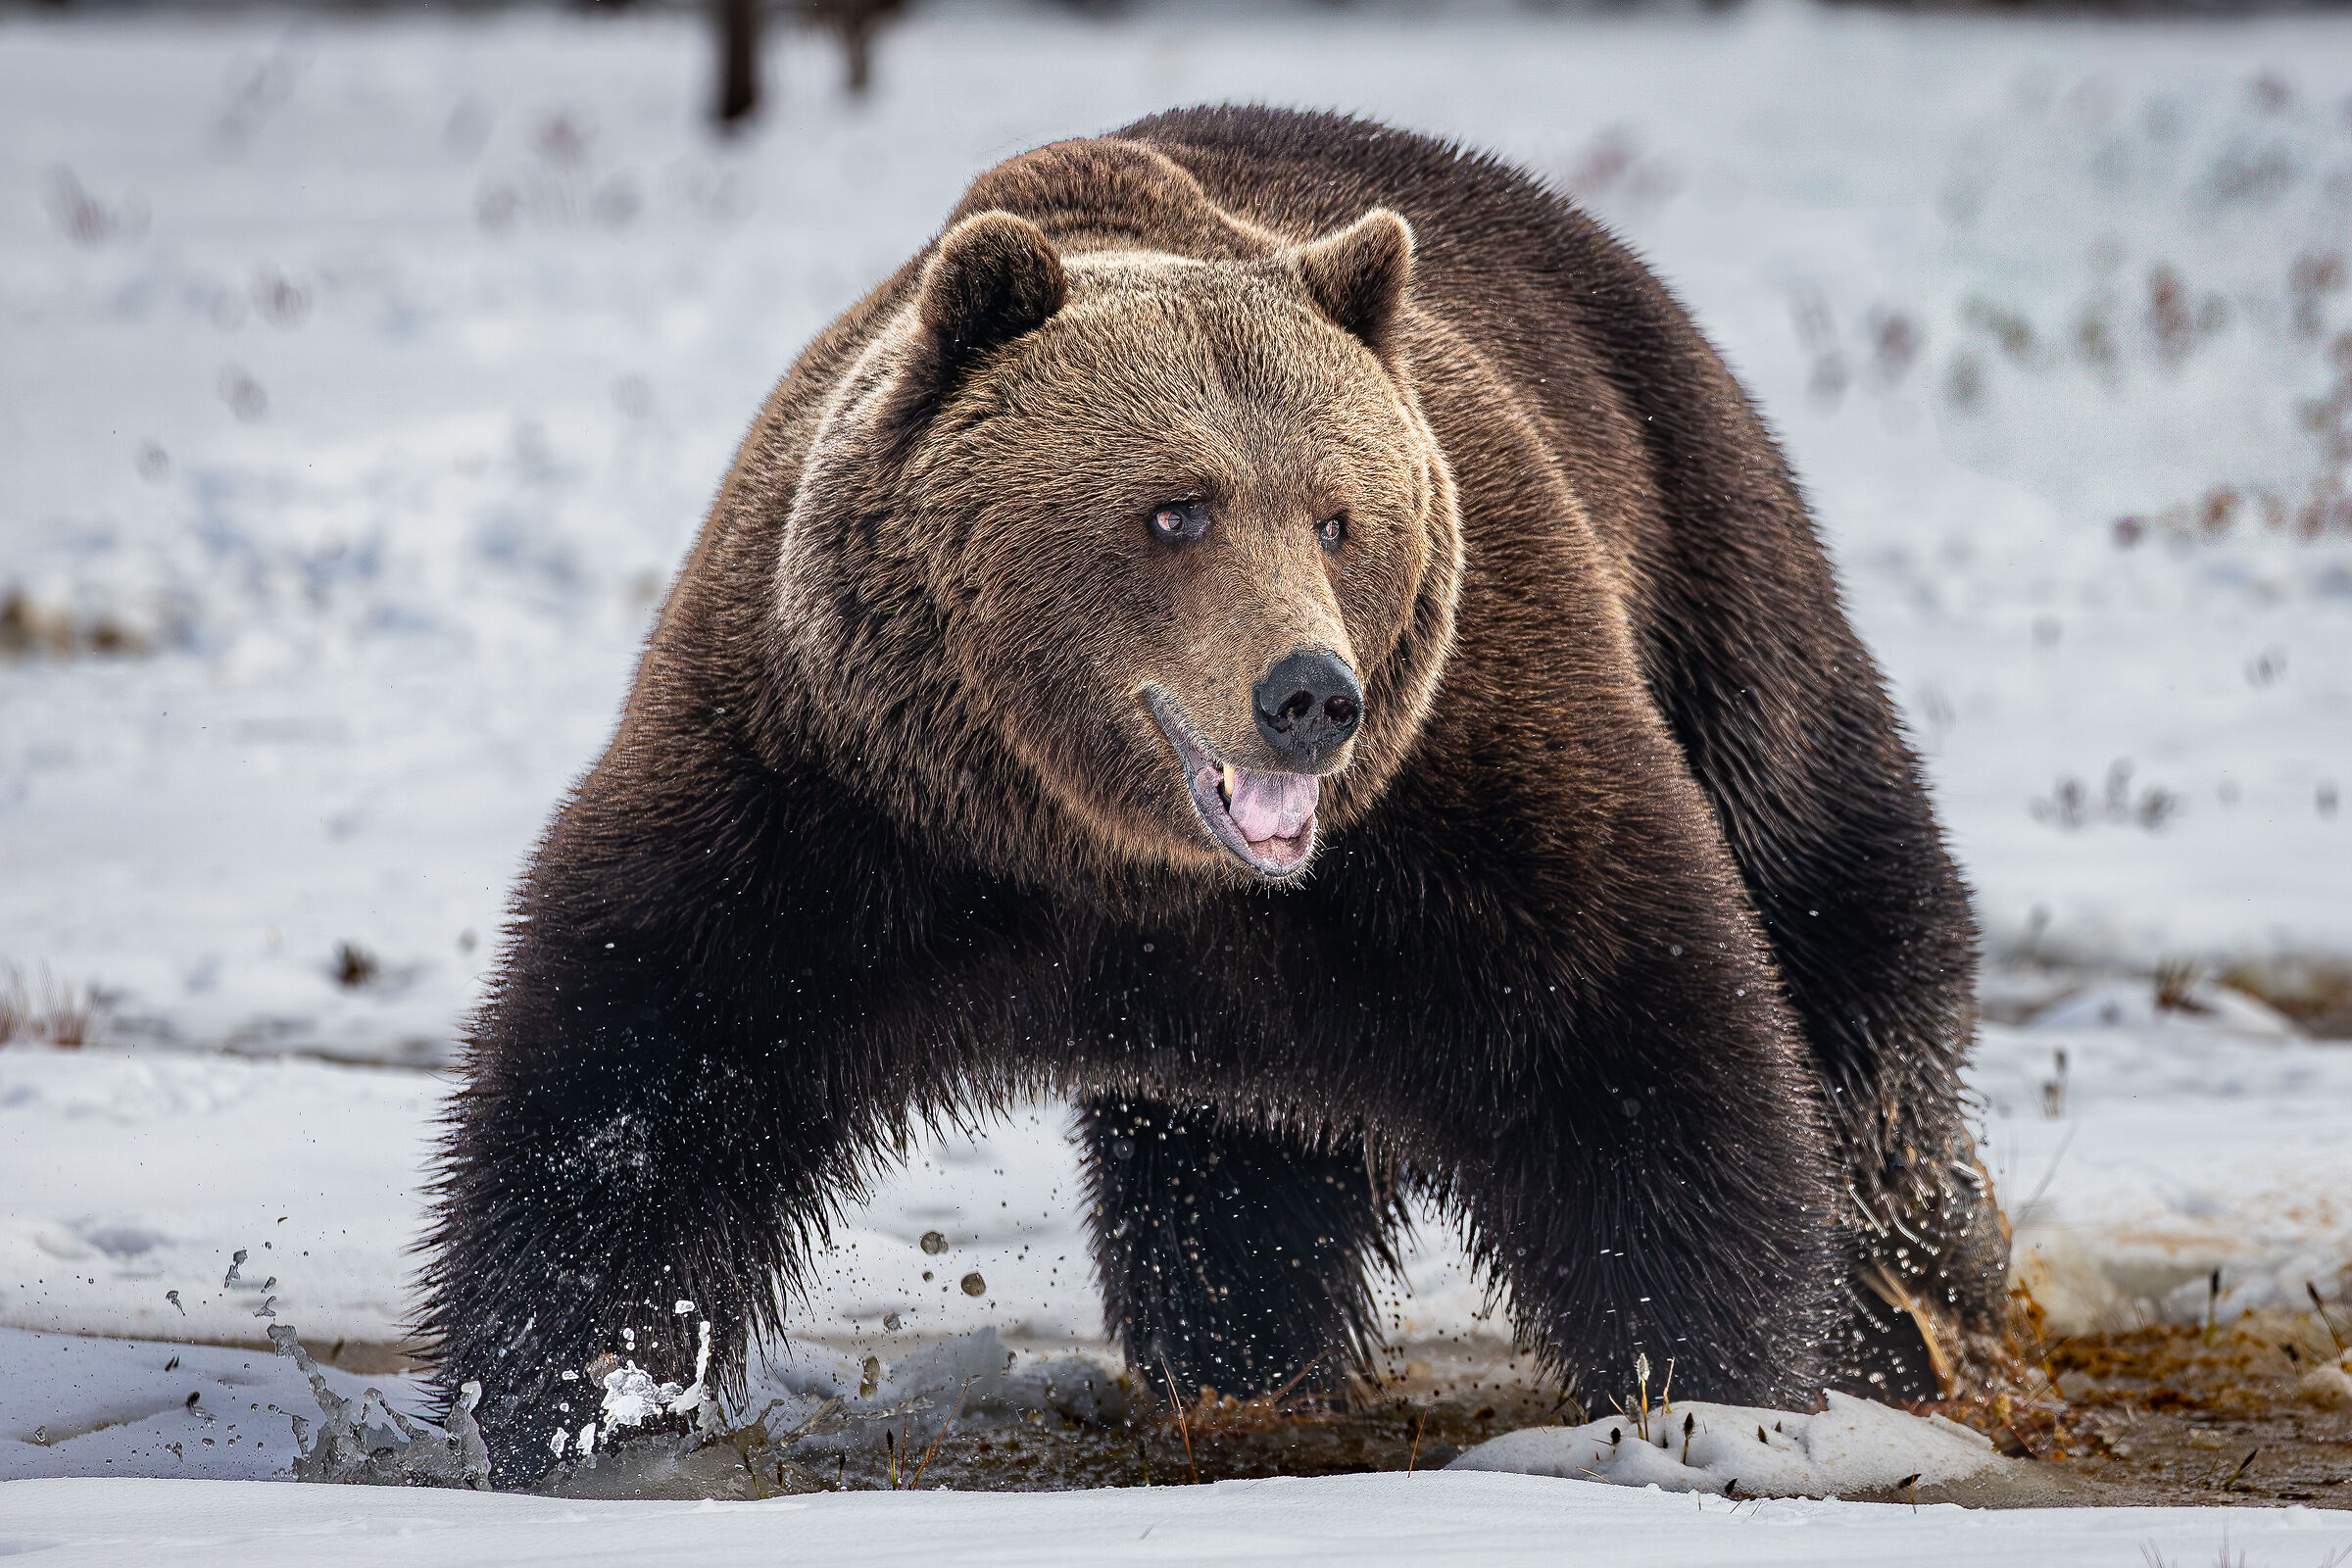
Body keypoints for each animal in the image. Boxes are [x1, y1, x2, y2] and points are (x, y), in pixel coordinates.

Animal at [419, 105, 2012, 1481]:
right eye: (1174, 508)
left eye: (1340, 515)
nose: (1310, 694)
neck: (1107, 859)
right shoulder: (827, 795)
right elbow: (632, 1076)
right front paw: (569, 1403)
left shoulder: (1474, 776)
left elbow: (1645, 1048)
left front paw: (1729, 1391)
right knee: (1229, 1172)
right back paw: (1246, 1360)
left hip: (1704, 547)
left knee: (1841, 918)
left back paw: (1931, 1302)